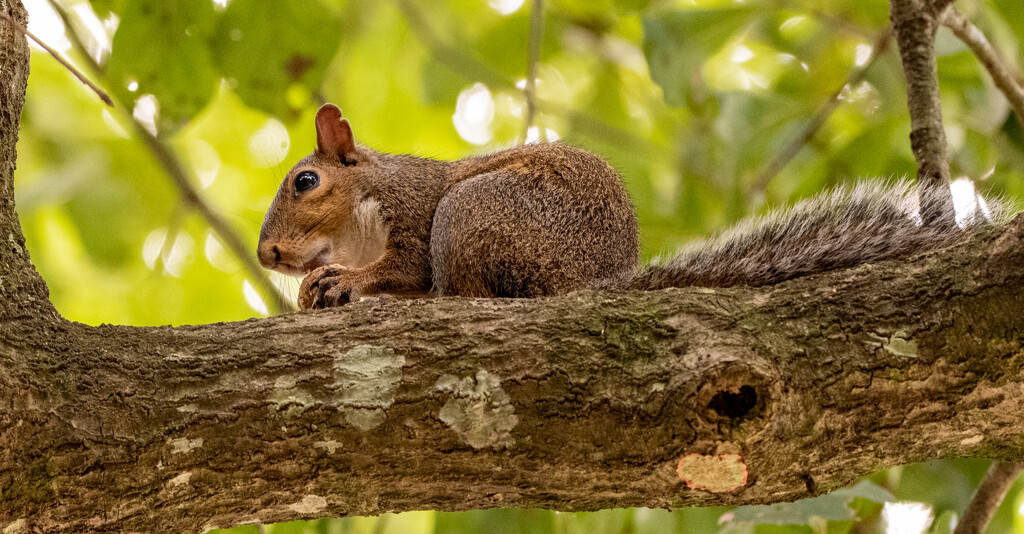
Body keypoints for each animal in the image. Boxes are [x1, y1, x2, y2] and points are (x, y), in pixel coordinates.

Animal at [253, 103, 999, 307]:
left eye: (305, 182)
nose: (267, 253)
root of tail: (590, 280)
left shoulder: (411, 216)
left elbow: (401, 272)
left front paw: (344, 280)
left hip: (472, 211)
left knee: (458, 290)